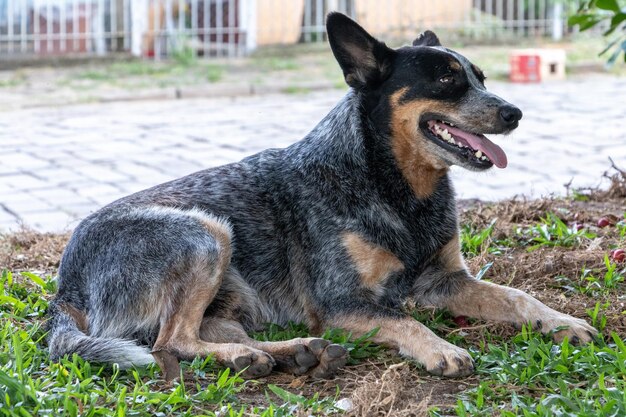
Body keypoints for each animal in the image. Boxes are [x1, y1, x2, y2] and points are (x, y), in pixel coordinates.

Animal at [47, 13, 596, 378]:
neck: (396, 189)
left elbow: (517, 297)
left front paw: (562, 321)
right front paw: (437, 347)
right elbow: (398, 317)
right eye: (446, 78)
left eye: (480, 77)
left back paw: (286, 353)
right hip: (205, 232)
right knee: (172, 341)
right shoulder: (340, 302)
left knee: (209, 334)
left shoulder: (444, 280)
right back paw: (259, 355)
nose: (514, 112)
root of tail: (64, 287)